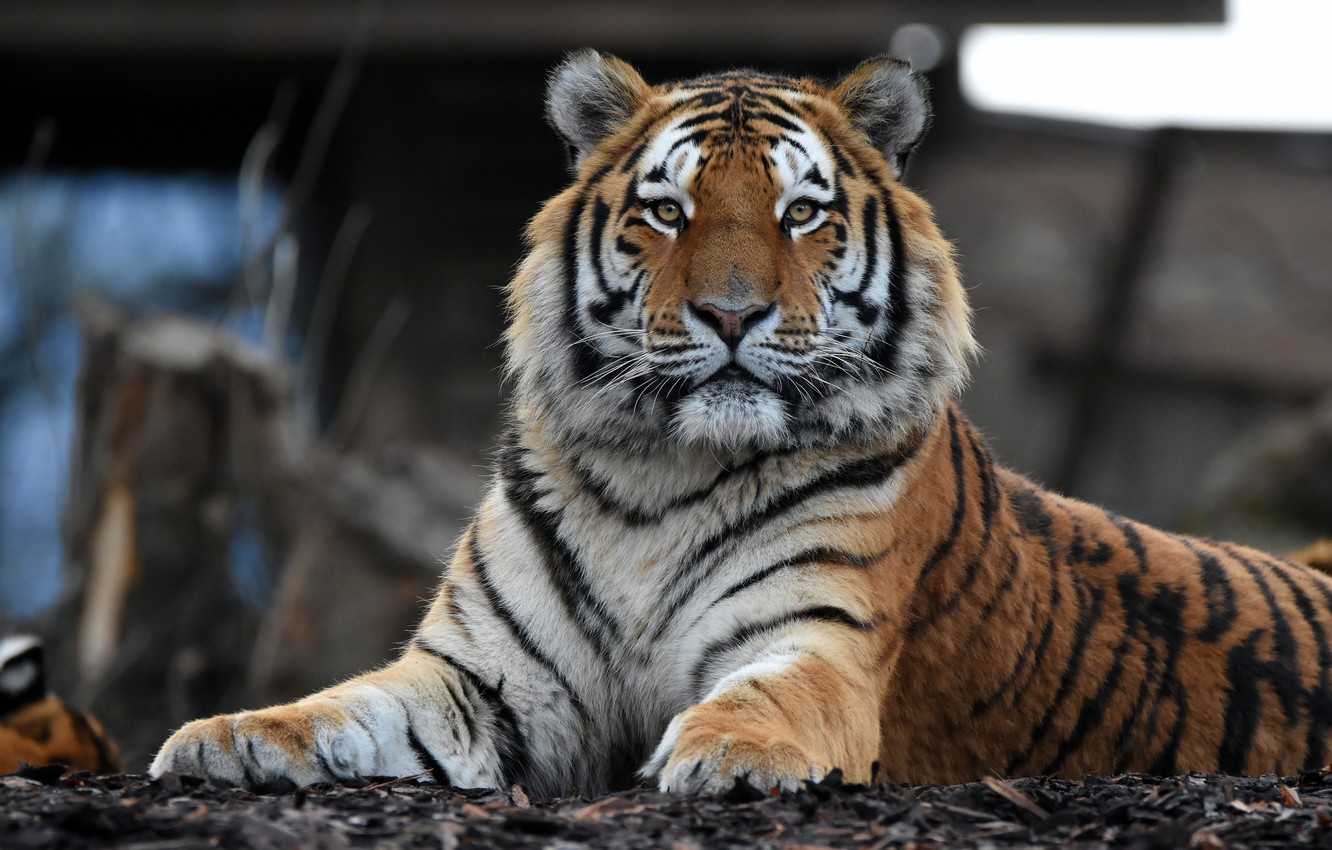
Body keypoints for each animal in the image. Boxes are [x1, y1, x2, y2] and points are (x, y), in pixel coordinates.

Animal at [151, 51, 1332, 796]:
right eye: (667, 210)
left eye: (800, 212)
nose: (730, 313)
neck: (655, 480)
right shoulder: (481, 673)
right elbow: (341, 704)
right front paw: (227, 737)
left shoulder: (815, 634)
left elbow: (769, 696)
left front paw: (732, 754)